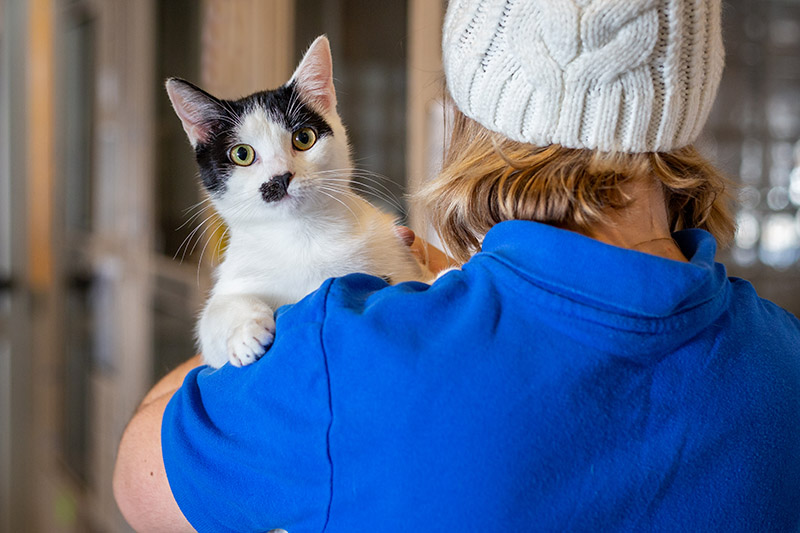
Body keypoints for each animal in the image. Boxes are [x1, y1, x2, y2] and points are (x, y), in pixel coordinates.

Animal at [166, 35, 428, 368]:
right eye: (242, 154)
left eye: (304, 138)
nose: (280, 177)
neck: (301, 236)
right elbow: (214, 316)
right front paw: (245, 331)